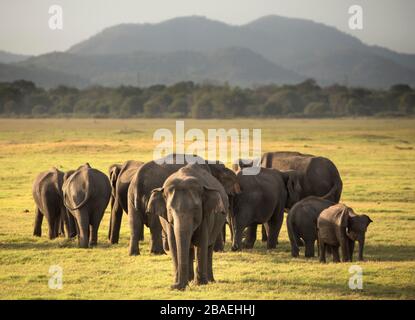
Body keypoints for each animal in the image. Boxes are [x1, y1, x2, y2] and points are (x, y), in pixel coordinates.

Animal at [148, 162, 229, 290]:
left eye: (196, 209)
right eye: (170, 210)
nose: (174, 286)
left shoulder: (205, 217)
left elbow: (201, 242)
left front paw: (199, 284)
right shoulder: (168, 221)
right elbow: (174, 244)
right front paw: (177, 283)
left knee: (209, 247)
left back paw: (209, 280)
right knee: (190, 248)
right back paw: (190, 279)